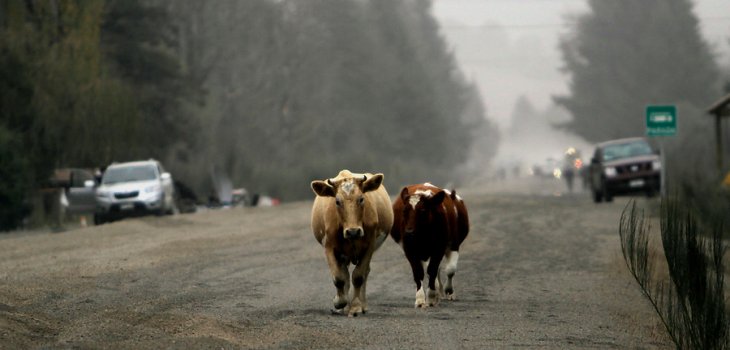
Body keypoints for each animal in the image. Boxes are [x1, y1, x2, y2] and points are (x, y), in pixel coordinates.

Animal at [310, 170, 396, 318]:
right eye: (337, 201)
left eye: (361, 199)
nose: (353, 231)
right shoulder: (329, 247)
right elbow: (339, 278)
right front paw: (339, 302)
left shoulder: (369, 246)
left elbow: (358, 276)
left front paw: (356, 307)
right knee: (344, 275)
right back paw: (343, 307)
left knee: (364, 273)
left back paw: (363, 305)